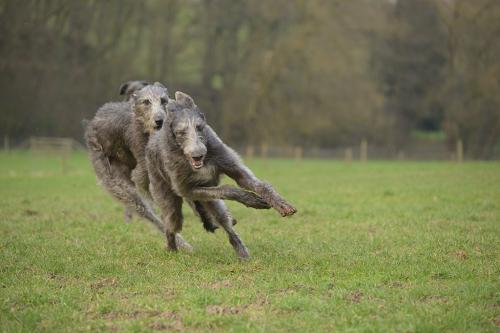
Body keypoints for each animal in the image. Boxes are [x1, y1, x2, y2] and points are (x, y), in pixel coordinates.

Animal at [146, 91, 298, 260]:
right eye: (181, 132)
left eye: (200, 127)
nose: (198, 154)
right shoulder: (188, 188)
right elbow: (227, 189)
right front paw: (251, 199)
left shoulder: (230, 166)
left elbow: (259, 185)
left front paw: (281, 204)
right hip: (166, 193)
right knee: (171, 222)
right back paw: (171, 248)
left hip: (210, 203)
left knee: (224, 222)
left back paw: (242, 253)